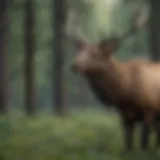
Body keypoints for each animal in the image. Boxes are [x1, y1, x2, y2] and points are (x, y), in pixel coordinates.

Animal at [64, 7, 160, 151]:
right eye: (79, 52)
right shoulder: (124, 116)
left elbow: (144, 144)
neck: (125, 94)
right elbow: (128, 144)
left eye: (95, 54)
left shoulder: (148, 110)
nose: (75, 65)